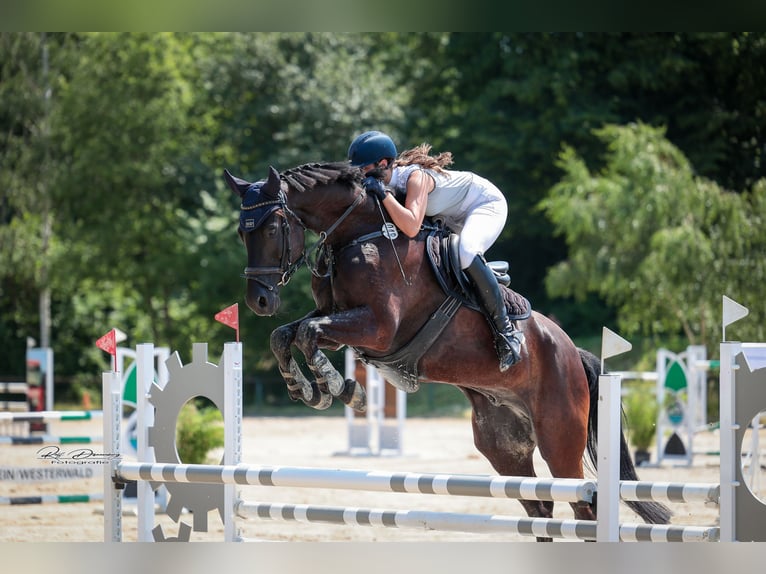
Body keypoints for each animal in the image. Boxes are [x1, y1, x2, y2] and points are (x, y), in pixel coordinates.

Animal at [224, 161, 671, 540]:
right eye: (242, 234)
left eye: (270, 229)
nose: (258, 301)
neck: (360, 235)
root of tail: (574, 353)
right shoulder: (339, 320)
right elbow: (286, 335)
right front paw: (309, 389)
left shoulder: (378, 329)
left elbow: (307, 334)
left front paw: (339, 387)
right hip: (503, 446)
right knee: (539, 508)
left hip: (560, 439)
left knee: (582, 509)